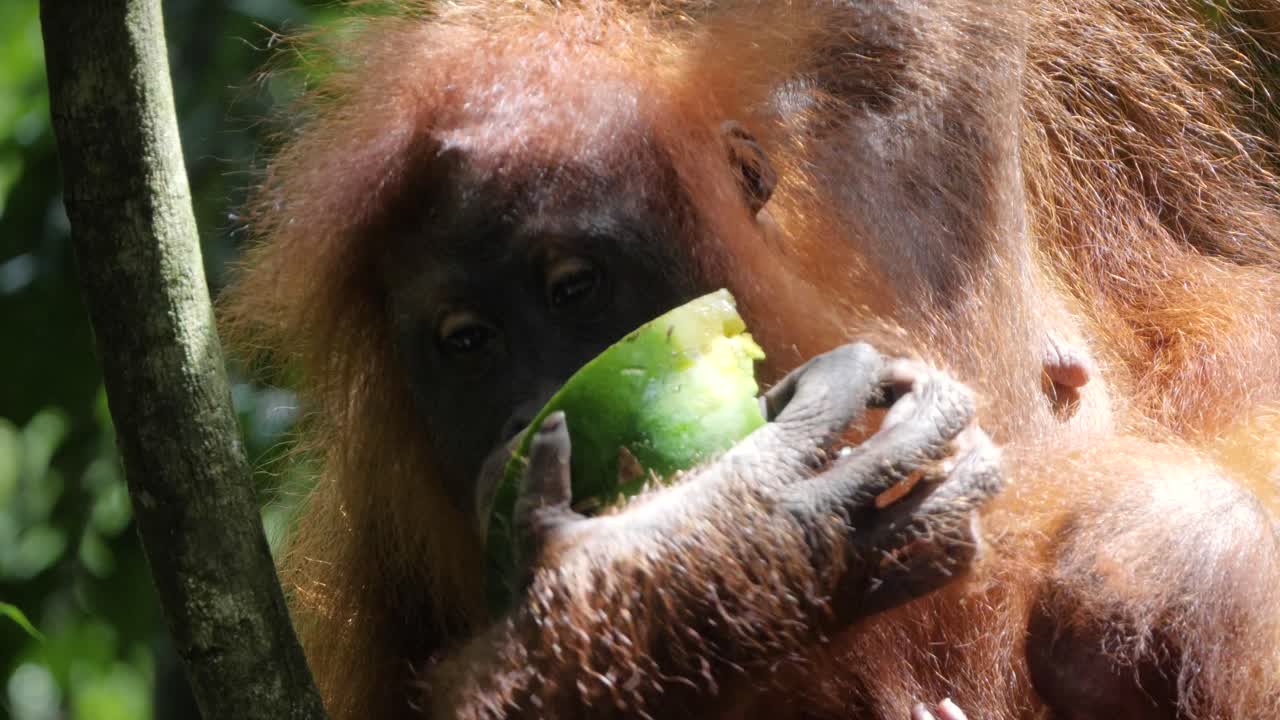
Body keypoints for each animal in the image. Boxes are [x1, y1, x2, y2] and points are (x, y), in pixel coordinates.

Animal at [220, 0, 1280, 718]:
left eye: (574, 288)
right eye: (467, 342)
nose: (530, 410)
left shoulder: (897, 122)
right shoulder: (379, 561)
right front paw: (727, 542)